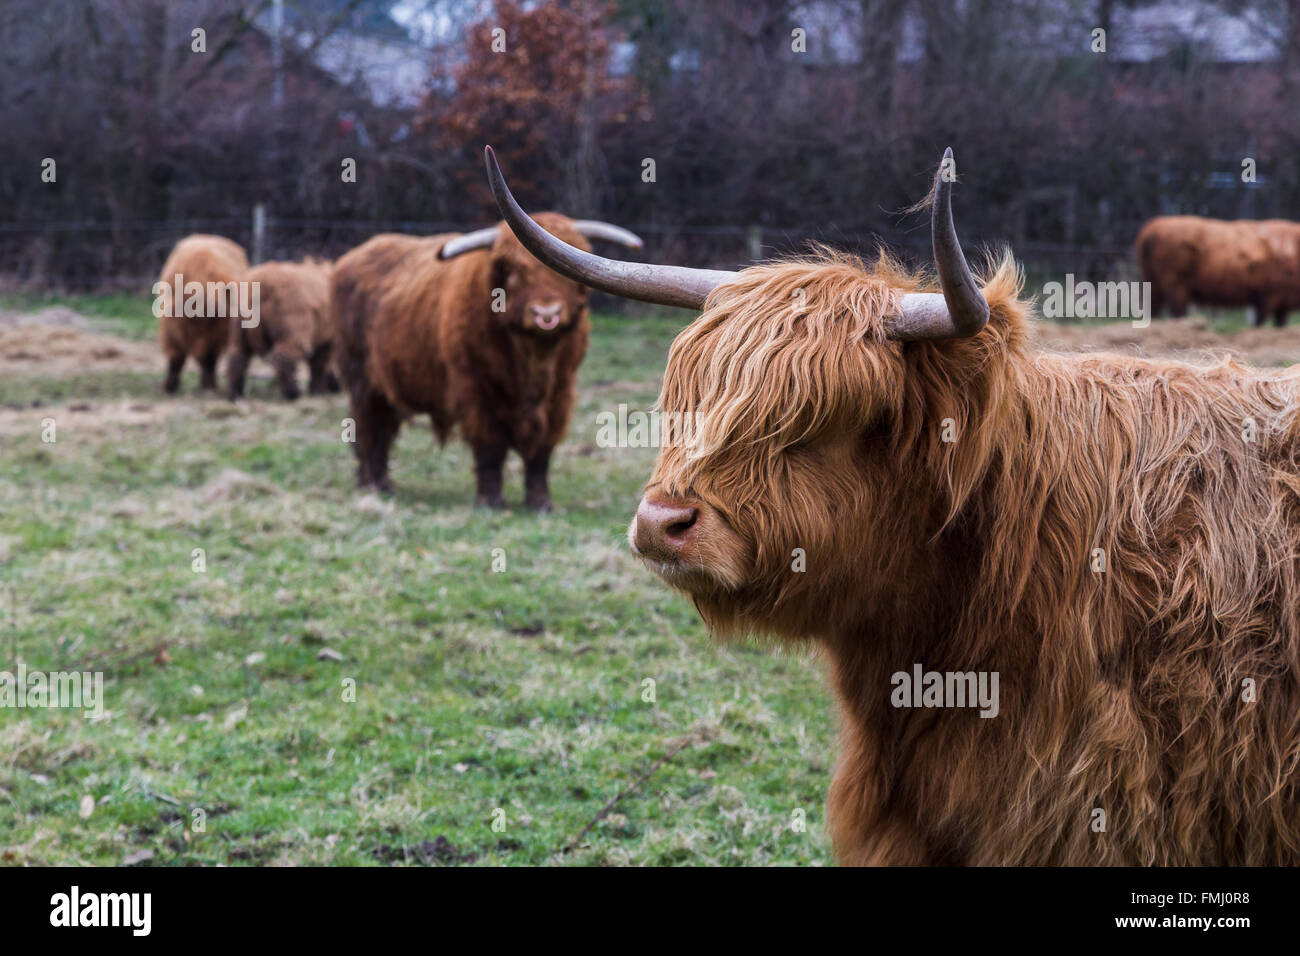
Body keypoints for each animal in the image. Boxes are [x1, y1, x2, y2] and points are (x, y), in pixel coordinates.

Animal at [154, 234, 248, 392]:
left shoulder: (213, 334)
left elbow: (208, 360)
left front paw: (208, 385)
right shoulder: (172, 328)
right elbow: (176, 358)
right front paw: (169, 386)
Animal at [230, 257, 340, 400]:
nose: (337, 387)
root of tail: (263, 285)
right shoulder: (327, 339)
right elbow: (320, 363)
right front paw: (317, 390)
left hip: (240, 324)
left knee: (238, 355)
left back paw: (235, 392)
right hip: (292, 322)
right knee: (286, 356)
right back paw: (293, 392)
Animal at [327, 214, 642, 512]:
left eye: (566, 276)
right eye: (515, 271)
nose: (547, 314)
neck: (533, 361)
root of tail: (355, 254)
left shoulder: (560, 395)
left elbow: (541, 451)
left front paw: (541, 502)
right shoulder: (478, 393)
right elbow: (490, 447)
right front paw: (491, 501)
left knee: (382, 429)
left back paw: (383, 483)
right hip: (361, 379)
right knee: (368, 428)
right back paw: (372, 485)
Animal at [1133, 215, 1300, 327]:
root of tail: (1151, 229)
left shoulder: (1281, 303)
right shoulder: (1269, 297)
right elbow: (1259, 323)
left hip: (1153, 283)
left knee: (1154, 310)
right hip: (1174, 284)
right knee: (1178, 312)